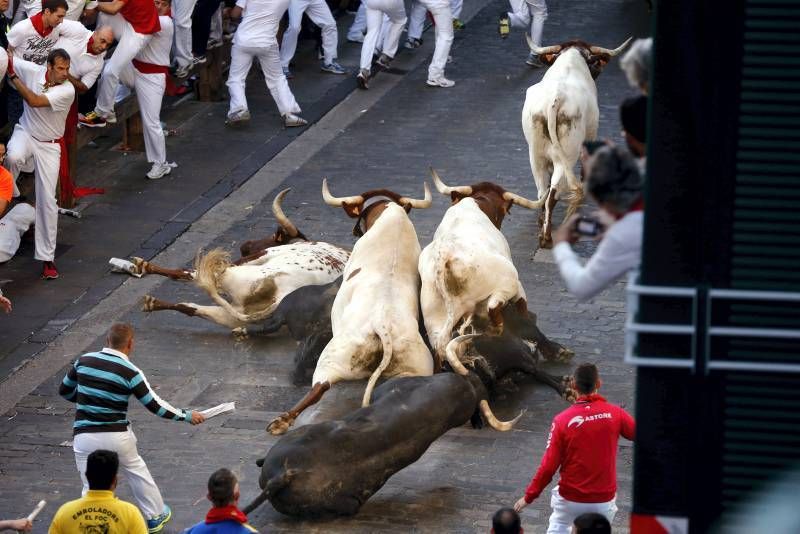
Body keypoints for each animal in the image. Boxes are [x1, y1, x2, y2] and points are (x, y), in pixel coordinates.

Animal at [418, 170, 536, 370]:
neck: (477, 202)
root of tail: (444, 259)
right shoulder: (516, 287)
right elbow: (522, 310)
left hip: (433, 316)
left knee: (440, 347)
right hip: (509, 281)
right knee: (495, 308)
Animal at [520, 36, 636, 250]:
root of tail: (556, 99)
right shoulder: (590, 135)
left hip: (536, 155)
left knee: (543, 191)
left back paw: (542, 226)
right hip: (567, 155)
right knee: (553, 193)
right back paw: (547, 238)